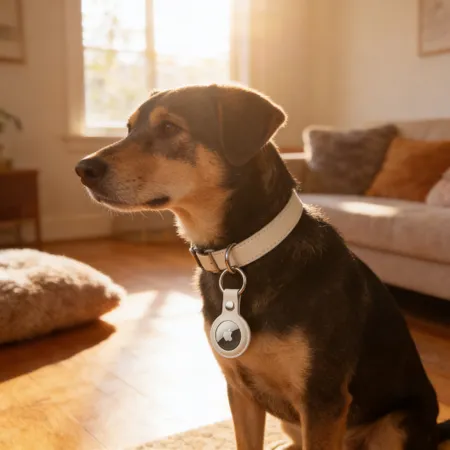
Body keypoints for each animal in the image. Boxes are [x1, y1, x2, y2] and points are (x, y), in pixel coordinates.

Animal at [75, 84, 450, 449]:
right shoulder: (240, 391)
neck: (238, 255)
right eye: (128, 129)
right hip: (293, 422)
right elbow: (245, 442)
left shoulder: (322, 400)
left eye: (169, 128)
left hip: (397, 425)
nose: (82, 169)